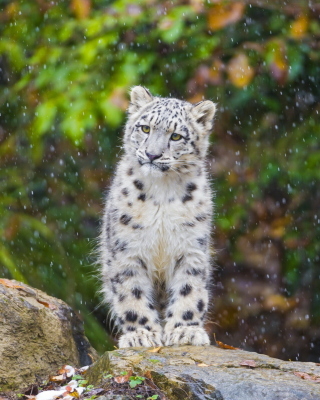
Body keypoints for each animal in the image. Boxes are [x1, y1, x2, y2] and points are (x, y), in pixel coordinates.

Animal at [99, 85, 216, 346]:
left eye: (176, 137)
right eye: (145, 128)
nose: (152, 154)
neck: (162, 191)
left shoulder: (191, 248)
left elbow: (189, 289)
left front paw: (185, 330)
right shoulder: (127, 250)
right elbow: (131, 292)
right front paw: (141, 334)